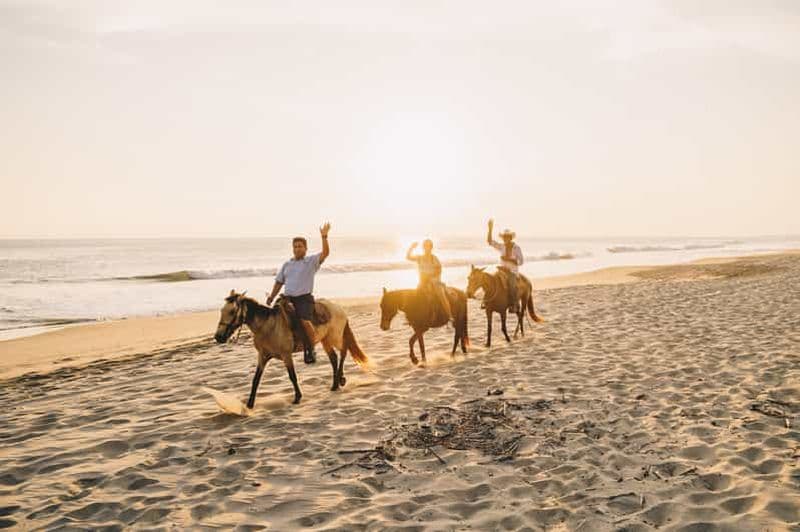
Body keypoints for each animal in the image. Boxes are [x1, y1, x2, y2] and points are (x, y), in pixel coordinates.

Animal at [214, 290, 368, 407]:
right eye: (222, 311)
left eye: (232, 311)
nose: (218, 337)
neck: (267, 326)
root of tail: (338, 307)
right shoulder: (262, 357)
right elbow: (256, 379)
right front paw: (250, 403)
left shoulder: (286, 355)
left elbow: (292, 376)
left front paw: (297, 397)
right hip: (325, 341)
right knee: (334, 358)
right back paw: (335, 384)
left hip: (335, 337)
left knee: (344, 351)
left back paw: (340, 380)